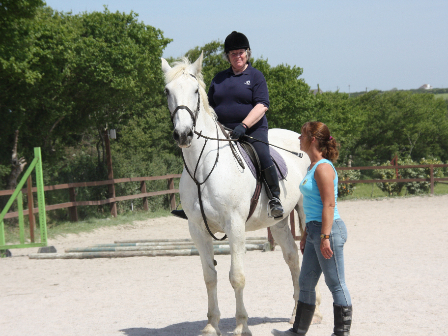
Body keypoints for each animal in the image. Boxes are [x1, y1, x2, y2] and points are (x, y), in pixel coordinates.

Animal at [163, 53, 320, 336]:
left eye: (195, 91)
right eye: (167, 91)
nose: (183, 134)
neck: (203, 166)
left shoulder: (235, 225)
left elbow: (236, 277)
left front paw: (241, 326)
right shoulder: (197, 230)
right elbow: (209, 277)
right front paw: (212, 325)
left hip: (305, 210)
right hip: (278, 221)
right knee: (292, 257)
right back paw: (294, 313)